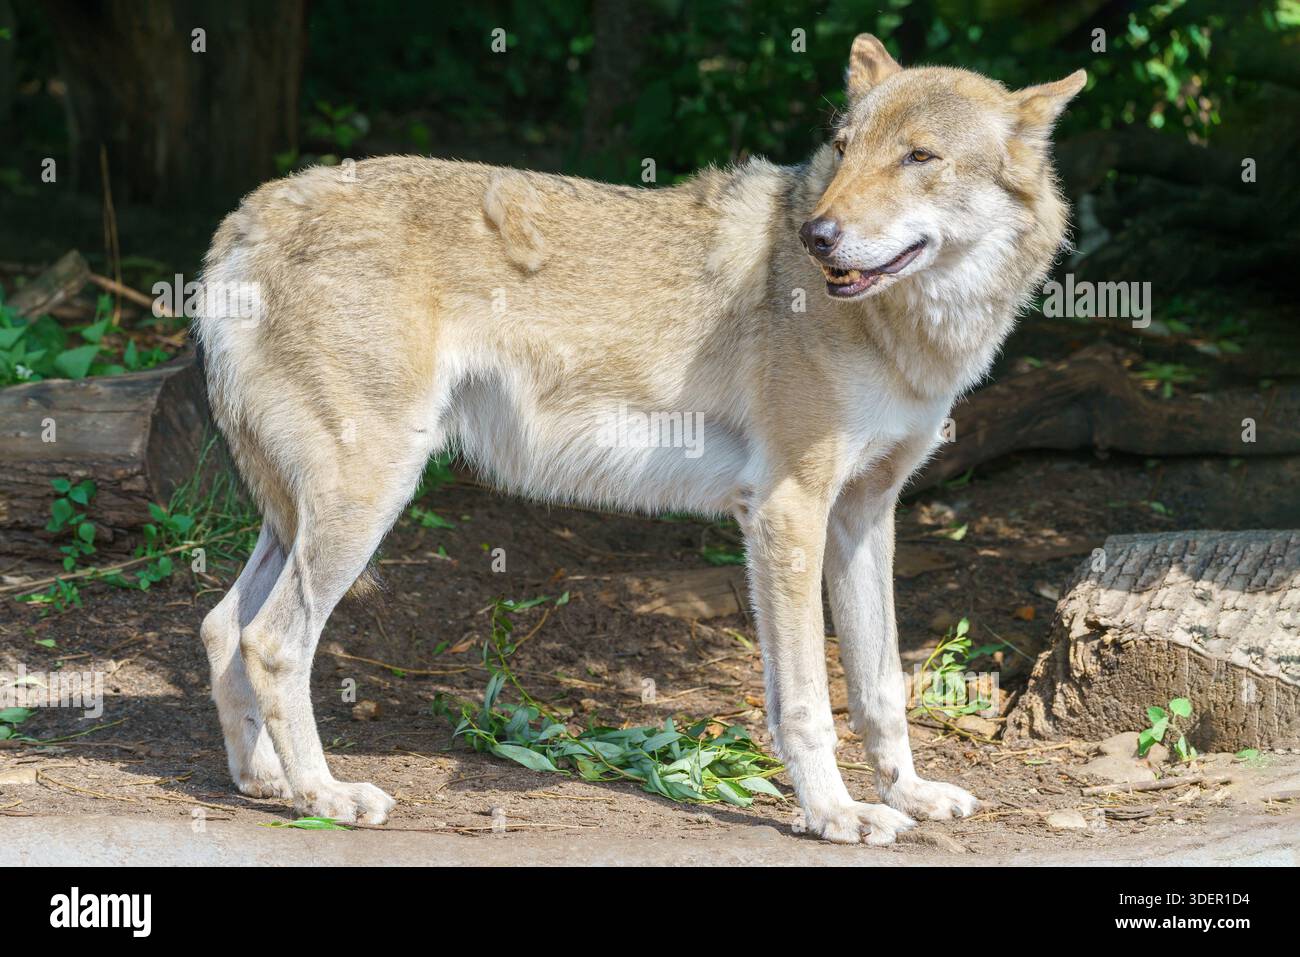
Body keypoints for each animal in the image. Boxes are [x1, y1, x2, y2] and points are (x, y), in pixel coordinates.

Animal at [195, 34, 1084, 844]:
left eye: (918, 156)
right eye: (843, 148)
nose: (818, 236)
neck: (905, 331)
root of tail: (248, 214)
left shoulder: (866, 515)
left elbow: (880, 688)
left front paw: (911, 796)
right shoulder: (787, 513)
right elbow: (806, 701)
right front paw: (836, 814)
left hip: (305, 513)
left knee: (220, 624)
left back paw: (263, 779)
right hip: (368, 497)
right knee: (269, 641)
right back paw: (324, 795)